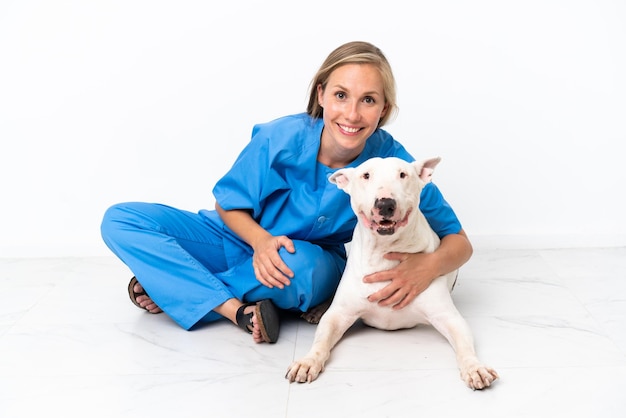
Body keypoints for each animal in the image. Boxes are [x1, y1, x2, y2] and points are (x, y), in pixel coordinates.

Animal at [284, 156, 498, 388]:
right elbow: (321, 340)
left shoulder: (449, 317)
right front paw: (307, 361)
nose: (385, 204)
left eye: (403, 174)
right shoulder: (339, 315)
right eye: (366, 175)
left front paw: (474, 367)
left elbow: (465, 346)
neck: (383, 252)